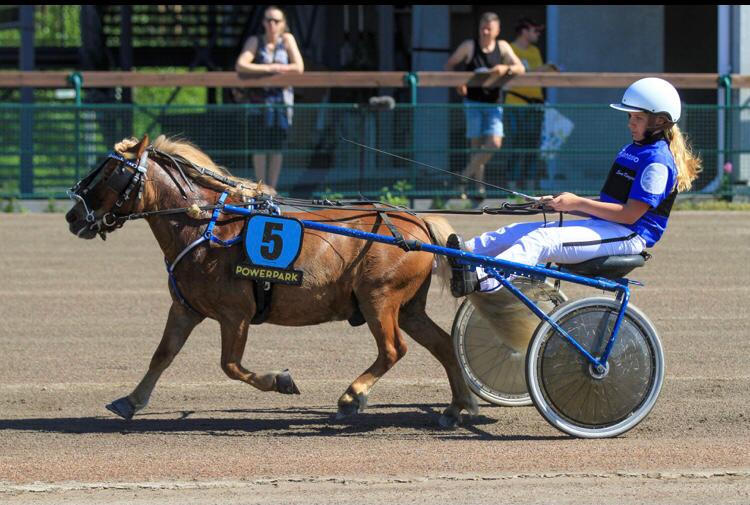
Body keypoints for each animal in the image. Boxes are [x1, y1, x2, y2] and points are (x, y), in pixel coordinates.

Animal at [64, 134, 476, 426]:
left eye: (108, 172)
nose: (72, 215)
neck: (207, 224)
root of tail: (417, 222)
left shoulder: (236, 314)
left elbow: (230, 365)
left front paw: (281, 380)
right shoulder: (185, 308)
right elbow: (162, 354)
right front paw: (131, 400)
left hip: (380, 299)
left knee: (393, 349)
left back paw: (351, 397)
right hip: (407, 307)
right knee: (442, 345)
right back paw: (457, 407)